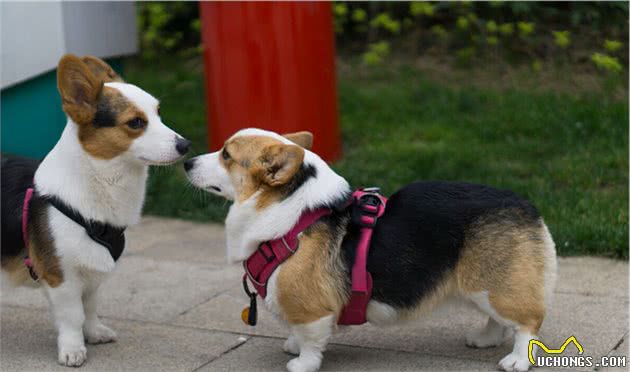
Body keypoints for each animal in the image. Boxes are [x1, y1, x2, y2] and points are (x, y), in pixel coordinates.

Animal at [1, 55, 191, 366]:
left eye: (159, 113)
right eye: (136, 122)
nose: (186, 145)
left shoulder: (91, 275)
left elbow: (89, 308)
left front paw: (94, 333)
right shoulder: (61, 276)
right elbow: (72, 316)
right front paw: (73, 349)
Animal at [185, 129, 560, 372]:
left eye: (227, 155)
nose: (187, 161)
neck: (290, 213)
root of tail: (528, 206)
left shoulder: (313, 309)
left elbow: (310, 339)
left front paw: (301, 362)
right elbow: (295, 330)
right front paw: (292, 344)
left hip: (495, 287)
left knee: (527, 323)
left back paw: (517, 360)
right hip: (482, 286)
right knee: (500, 319)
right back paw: (485, 338)